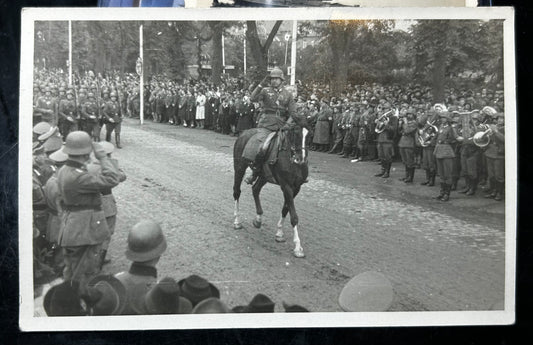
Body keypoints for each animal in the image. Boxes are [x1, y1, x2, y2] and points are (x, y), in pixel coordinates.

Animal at [232, 123, 308, 255]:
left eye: (309, 134)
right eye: (296, 133)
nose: (301, 159)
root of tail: (243, 133)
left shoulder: (296, 188)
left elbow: (285, 209)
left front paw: (279, 233)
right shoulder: (286, 186)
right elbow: (294, 216)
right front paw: (298, 247)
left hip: (264, 176)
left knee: (255, 189)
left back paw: (258, 219)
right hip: (239, 167)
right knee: (237, 192)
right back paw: (237, 221)